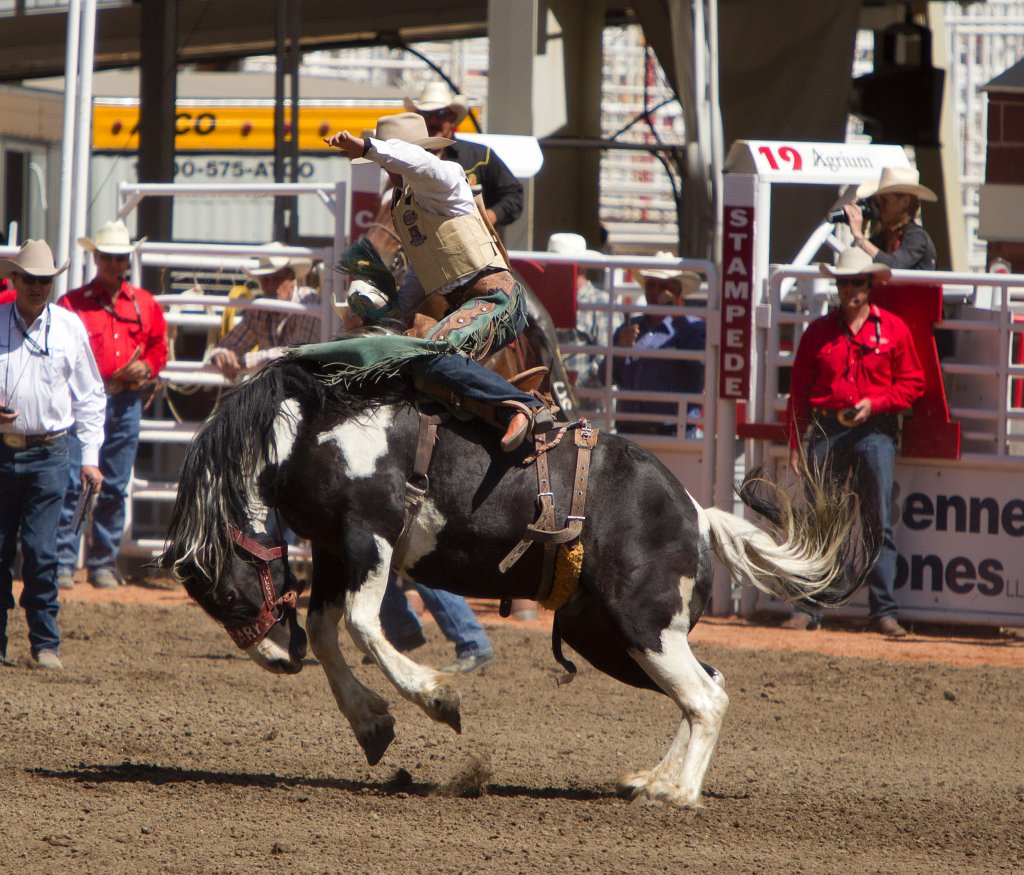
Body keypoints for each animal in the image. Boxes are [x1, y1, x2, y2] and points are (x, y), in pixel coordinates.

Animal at [155, 356, 868, 807]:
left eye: (225, 591)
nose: (279, 660)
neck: (312, 431)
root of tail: (697, 513)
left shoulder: (369, 534)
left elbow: (360, 624)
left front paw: (438, 697)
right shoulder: (334, 551)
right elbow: (330, 632)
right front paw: (372, 725)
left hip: (642, 624)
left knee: (706, 697)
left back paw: (677, 793)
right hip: (608, 637)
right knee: (703, 689)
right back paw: (651, 780)